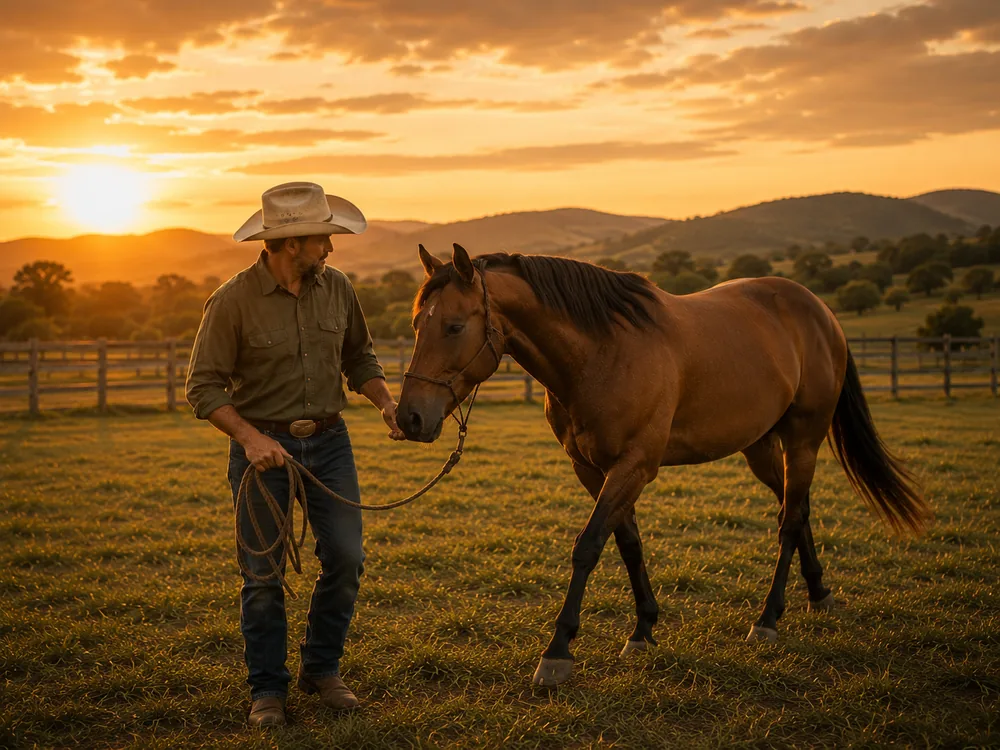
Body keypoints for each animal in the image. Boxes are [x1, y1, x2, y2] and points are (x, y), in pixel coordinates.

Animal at [397, 243, 928, 687]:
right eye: (417, 326)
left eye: (454, 326)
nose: (409, 417)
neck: (602, 352)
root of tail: (820, 311)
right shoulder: (592, 470)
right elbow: (627, 544)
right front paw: (643, 629)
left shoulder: (633, 467)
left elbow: (588, 547)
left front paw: (558, 651)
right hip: (761, 447)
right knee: (798, 512)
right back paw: (818, 594)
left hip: (803, 440)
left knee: (789, 522)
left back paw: (767, 620)